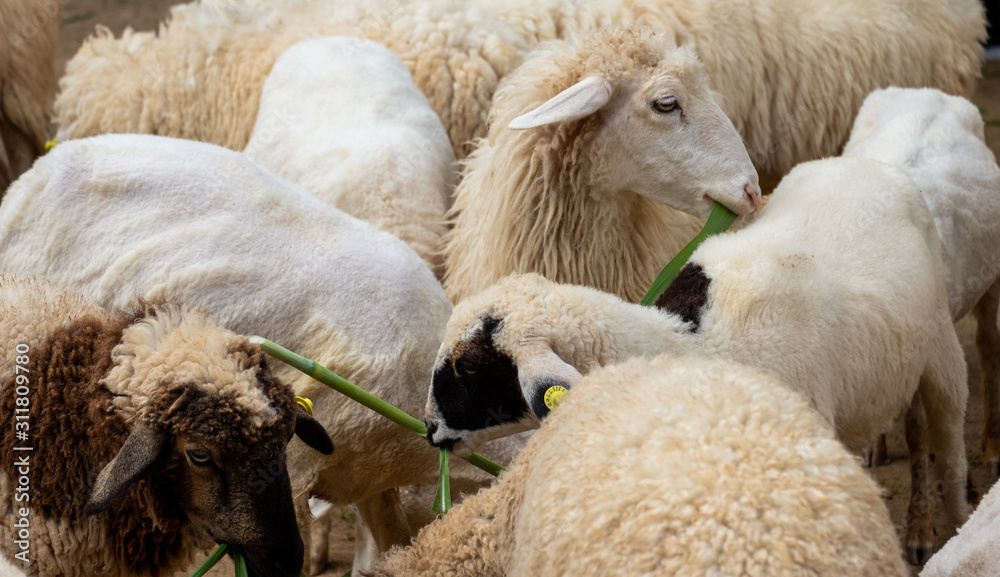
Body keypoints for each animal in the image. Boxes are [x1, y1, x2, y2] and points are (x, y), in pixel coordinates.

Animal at [423, 156, 971, 563]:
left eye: (469, 367)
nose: (429, 428)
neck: (689, 344)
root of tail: (863, 162)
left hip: (942, 345)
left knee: (946, 436)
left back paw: (951, 524)